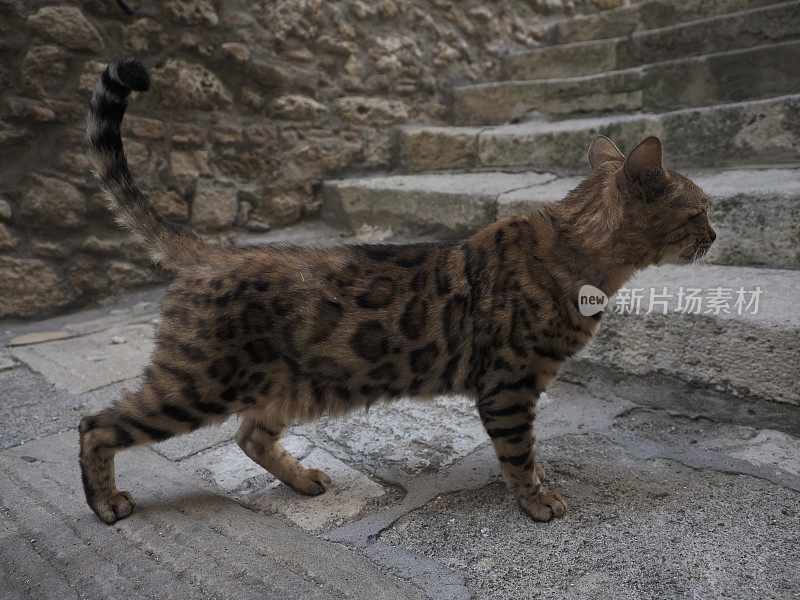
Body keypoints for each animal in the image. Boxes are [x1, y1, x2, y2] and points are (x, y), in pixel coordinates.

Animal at [81, 57, 720, 524]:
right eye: (700, 212)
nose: (715, 235)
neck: (582, 260)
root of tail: (213, 251)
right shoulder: (508, 386)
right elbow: (520, 454)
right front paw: (537, 500)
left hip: (289, 384)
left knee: (249, 434)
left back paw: (305, 479)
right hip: (200, 382)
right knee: (98, 423)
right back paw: (106, 502)